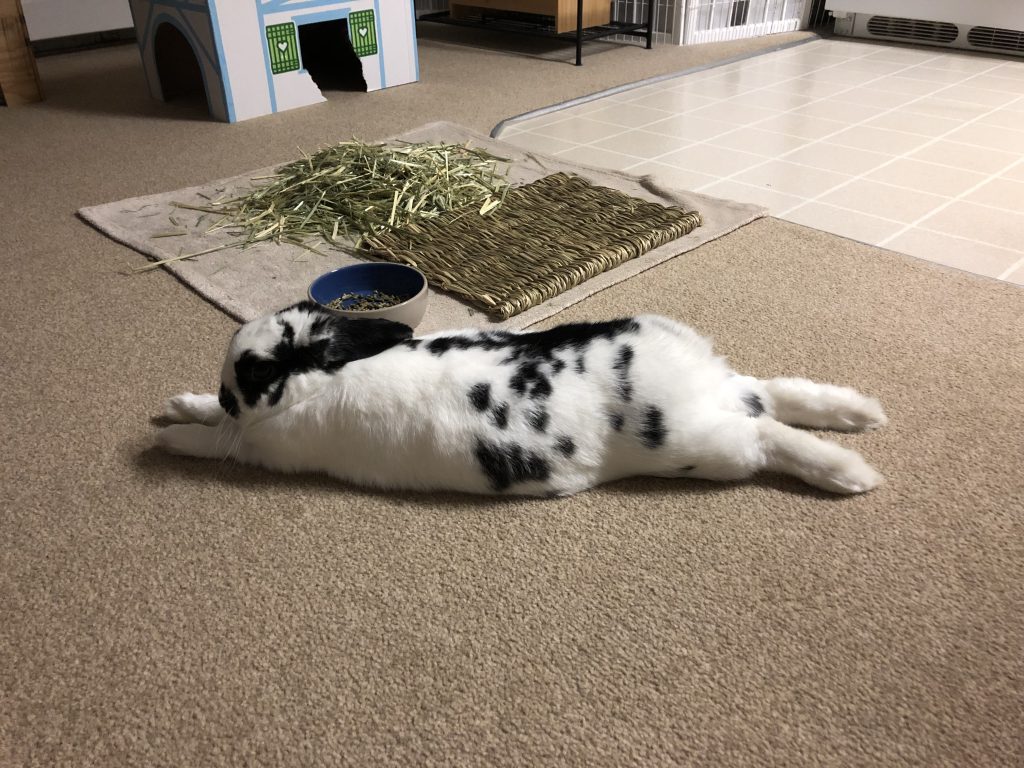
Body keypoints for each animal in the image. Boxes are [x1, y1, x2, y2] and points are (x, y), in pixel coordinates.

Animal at [157, 301, 887, 497]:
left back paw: (852, 474)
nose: (225, 395)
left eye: (251, 374)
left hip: (702, 445)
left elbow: (211, 444)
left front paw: (167, 433)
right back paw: (863, 412)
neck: (320, 378)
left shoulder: (258, 448)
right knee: (774, 395)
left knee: (767, 437)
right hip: (730, 399)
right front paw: (178, 401)